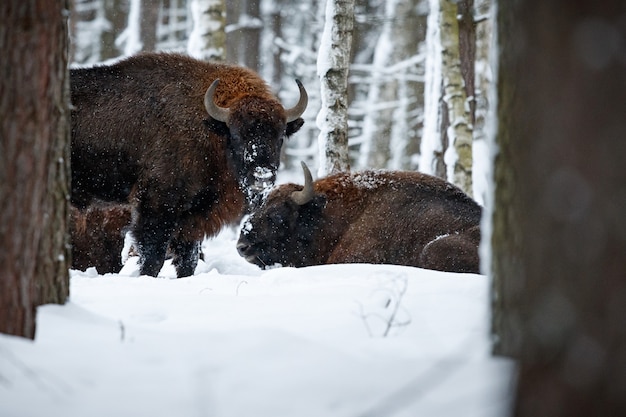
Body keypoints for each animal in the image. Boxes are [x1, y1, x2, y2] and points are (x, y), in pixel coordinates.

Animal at [70, 52, 308, 276]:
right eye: (236, 135)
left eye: (280, 137)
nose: (262, 176)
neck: (209, 128)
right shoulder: (157, 205)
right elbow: (153, 255)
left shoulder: (194, 216)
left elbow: (188, 258)